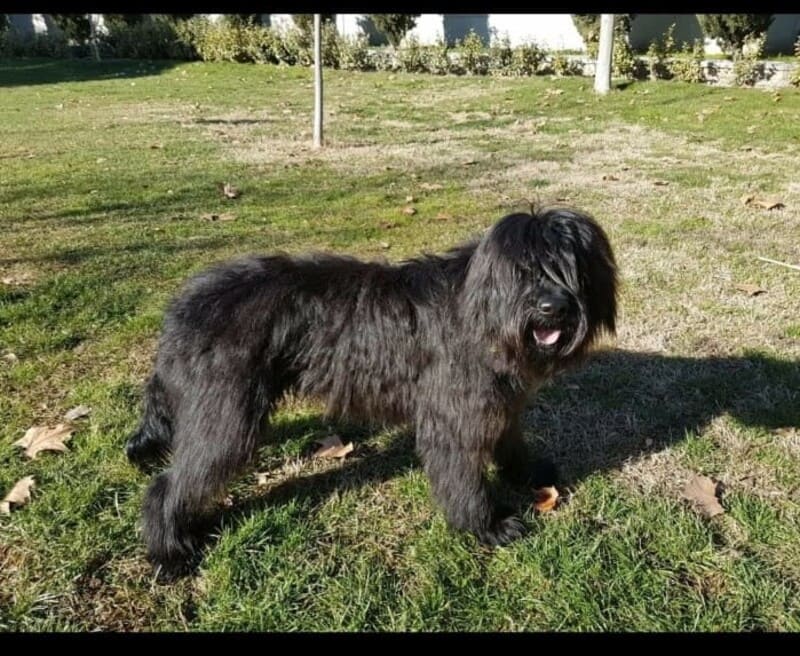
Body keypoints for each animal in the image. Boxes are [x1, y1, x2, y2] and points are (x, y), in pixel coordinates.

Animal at [128, 208, 620, 576]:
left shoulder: (498, 405)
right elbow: (462, 477)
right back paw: (170, 550)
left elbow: (510, 441)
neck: (483, 309)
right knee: (170, 483)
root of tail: (180, 309)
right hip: (226, 415)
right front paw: (487, 525)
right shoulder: (453, 417)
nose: (552, 308)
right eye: (523, 270)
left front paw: (529, 473)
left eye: (572, 269)